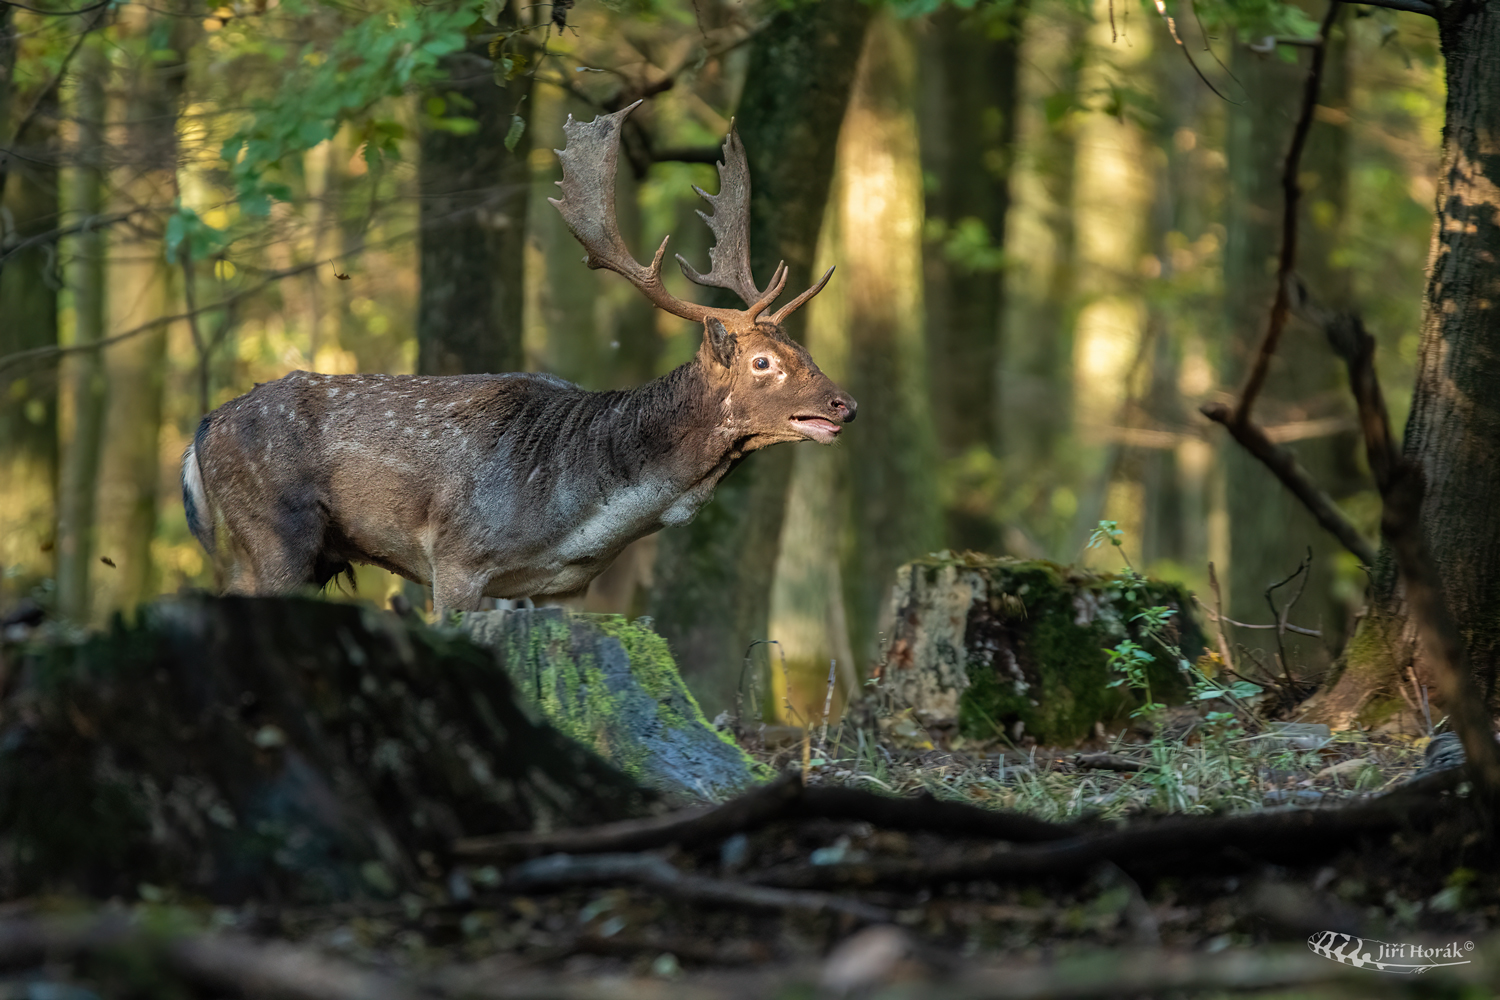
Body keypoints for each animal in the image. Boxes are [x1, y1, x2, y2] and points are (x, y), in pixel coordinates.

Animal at [181, 103, 858, 617]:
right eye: (764, 362)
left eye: (805, 349)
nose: (845, 403)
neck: (577, 518)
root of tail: (201, 431)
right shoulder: (456, 558)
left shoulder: (561, 591)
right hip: (273, 534)